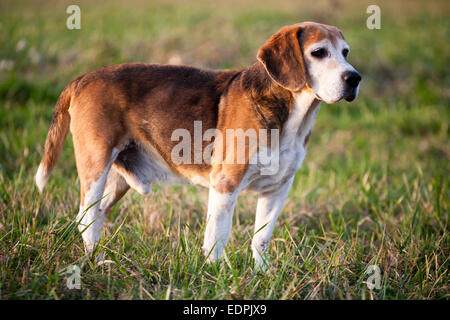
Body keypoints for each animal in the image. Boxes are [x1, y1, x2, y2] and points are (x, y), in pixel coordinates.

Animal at [35, 21, 360, 268]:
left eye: (345, 52)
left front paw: (263, 273)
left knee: (94, 216)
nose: (354, 78)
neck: (293, 115)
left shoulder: (277, 189)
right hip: (95, 165)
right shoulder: (226, 184)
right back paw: (94, 263)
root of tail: (82, 79)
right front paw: (215, 273)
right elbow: (218, 236)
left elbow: (261, 238)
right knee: (86, 216)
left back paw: (99, 259)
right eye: (318, 52)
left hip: (116, 181)